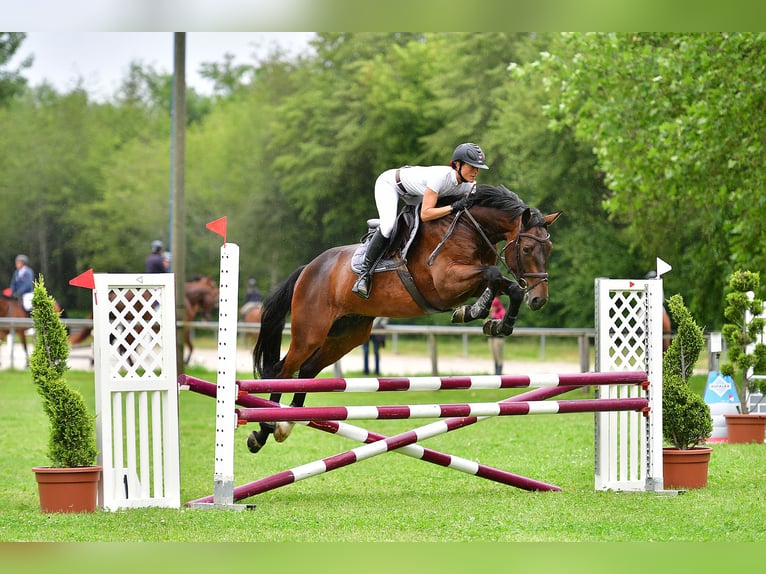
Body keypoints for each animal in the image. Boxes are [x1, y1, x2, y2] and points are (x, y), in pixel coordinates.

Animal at [252, 184, 564, 454]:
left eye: (549, 250)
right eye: (526, 249)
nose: (539, 299)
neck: (469, 228)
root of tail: (309, 268)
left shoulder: (470, 282)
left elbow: (507, 285)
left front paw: (495, 322)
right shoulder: (446, 283)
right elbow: (494, 274)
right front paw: (476, 312)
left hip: (347, 335)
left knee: (306, 370)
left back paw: (285, 425)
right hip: (310, 332)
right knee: (282, 371)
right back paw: (263, 430)